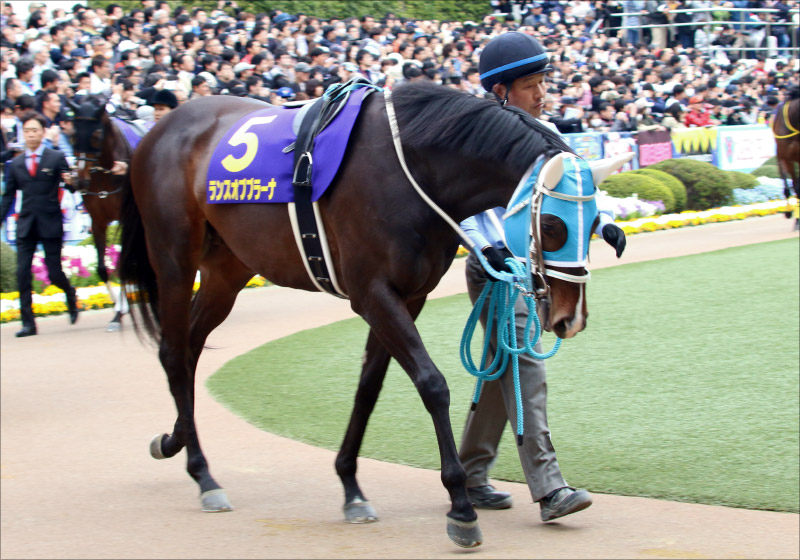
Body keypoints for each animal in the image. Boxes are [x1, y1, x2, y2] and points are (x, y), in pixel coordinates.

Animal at [71, 95, 147, 330]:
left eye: (96, 136)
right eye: (73, 134)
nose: (80, 180)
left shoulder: (125, 220)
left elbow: (123, 264)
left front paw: (119, 311)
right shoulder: (98, 221)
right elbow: (102, 268)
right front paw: (118, 311)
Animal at [117, 81, 629, 547]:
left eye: (595, 223)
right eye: (553, 225)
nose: (569, 318)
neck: (410, 170)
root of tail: (158, 130)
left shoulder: (408, 296)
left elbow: (369, 387)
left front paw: (351, 486)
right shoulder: (372, 293)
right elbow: (432, 384)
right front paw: (460, 507)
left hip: (228, 269)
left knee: (189, 348)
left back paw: (175, 440)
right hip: (174, 261)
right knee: (173, 352)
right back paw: (203, 475)